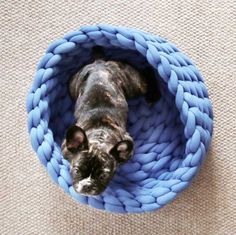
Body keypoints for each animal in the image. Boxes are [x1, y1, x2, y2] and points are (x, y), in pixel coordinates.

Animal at [61, 47, 159, 195]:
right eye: (76, 170)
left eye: (103, 176)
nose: (87, 185)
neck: (100, 136)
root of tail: (99, 62)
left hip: (134, 85)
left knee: (147, 75)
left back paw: (153, 95)